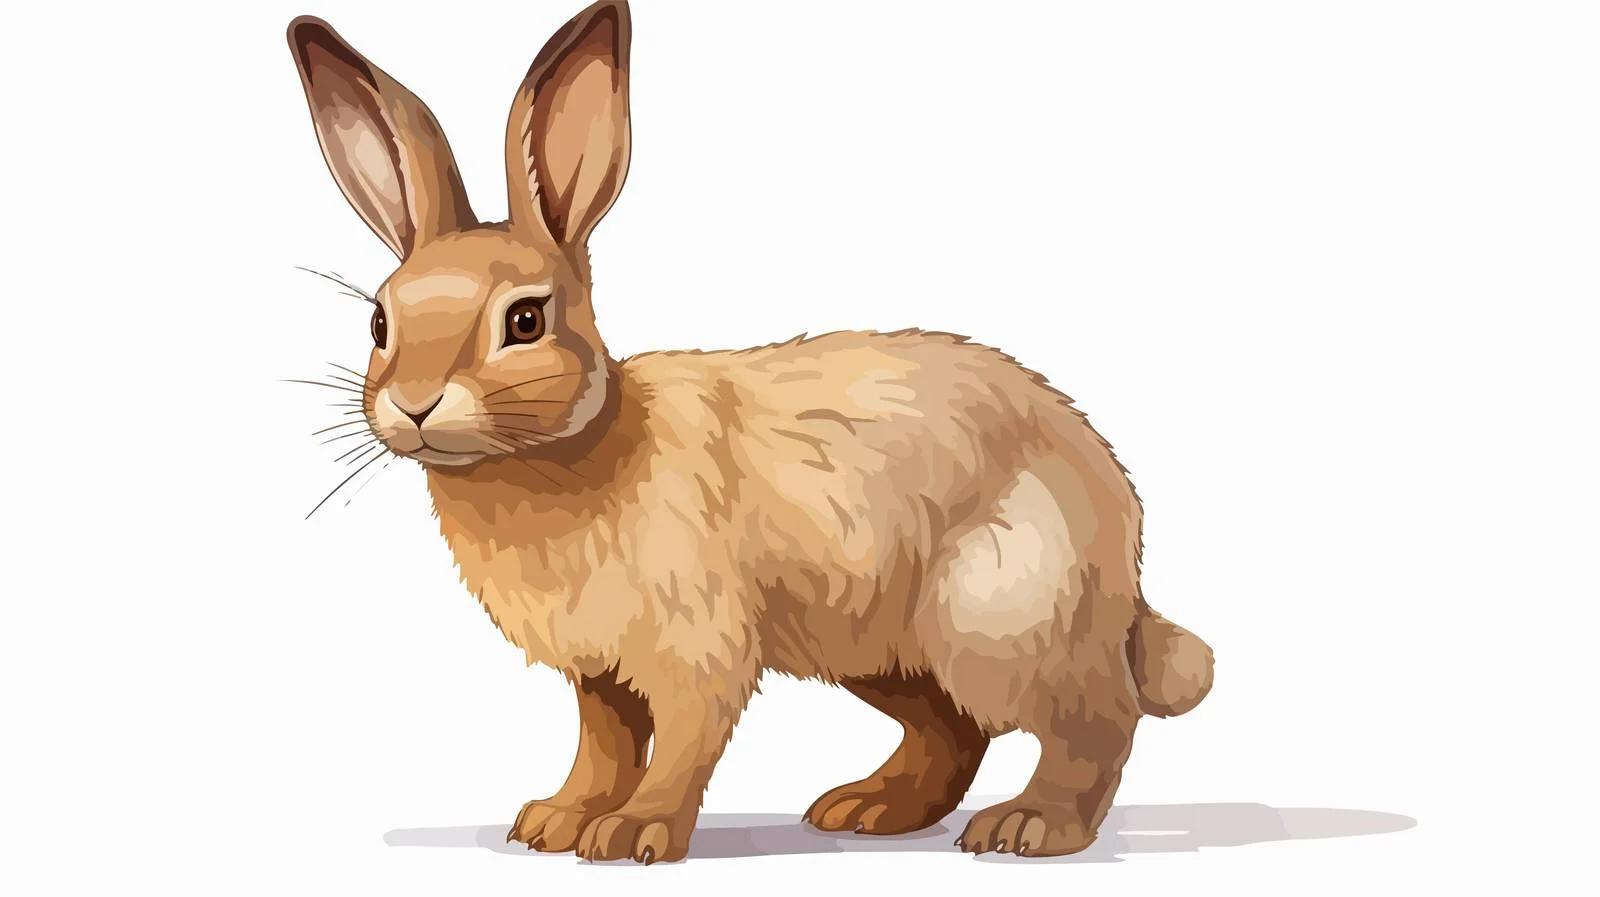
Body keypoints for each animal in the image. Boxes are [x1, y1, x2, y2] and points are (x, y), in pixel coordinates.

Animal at [287, 0, 1213, 864]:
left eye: (524, 320)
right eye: (379, 322)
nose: (414, 405)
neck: (587, 447)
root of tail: (1121, 538)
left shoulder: (695, 644)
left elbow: (681, 741)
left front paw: (632, 834)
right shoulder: (596, 671)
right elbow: (603, 742)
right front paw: (554, 820)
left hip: (993, 615)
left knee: (1096, 719)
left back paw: (1031, 825)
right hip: (882, 651)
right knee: (956, 731)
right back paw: (867, 808)